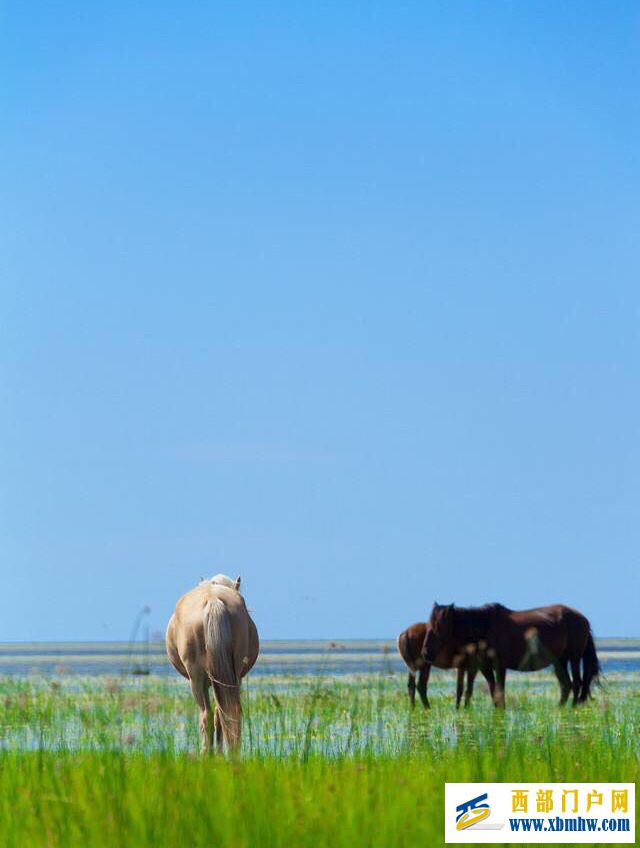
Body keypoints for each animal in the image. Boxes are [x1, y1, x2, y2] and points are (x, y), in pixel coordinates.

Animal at [166, 572, 258, 752]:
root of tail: (213, 599)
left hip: (196, 680)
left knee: (206, 715)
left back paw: (206, 753)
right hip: (232, 677)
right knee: (229, 713)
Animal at [424, 604, 600, 708]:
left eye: (438, 626)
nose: (425, 652)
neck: (484, 627)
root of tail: (582, 618)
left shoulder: (500, 666)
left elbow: (500, 691)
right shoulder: (486, 667)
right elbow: (494, 691)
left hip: (574, 657)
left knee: (576, 683)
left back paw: (573, 708)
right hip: (560, 661)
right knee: (566, 685)